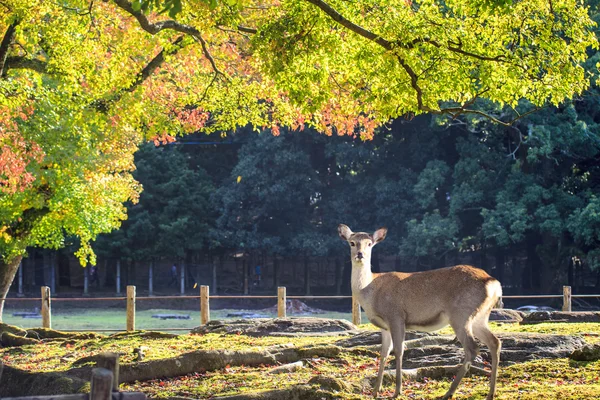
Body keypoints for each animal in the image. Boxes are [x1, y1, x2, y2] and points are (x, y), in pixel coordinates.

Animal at [338, 223, 502, 398]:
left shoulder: (396, 316)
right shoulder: (385, 326)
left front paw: (397, 391)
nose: (360, 255)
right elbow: (384, 353)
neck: (370, 292)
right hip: (480, 317)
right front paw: (375, 391)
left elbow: (399, 350)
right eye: (352, 243)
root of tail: (493, 283)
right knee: (495, 342)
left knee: (472, 348)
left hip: (461, 314)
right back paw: (490, 393)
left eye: (370, 244)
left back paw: (449, 392)